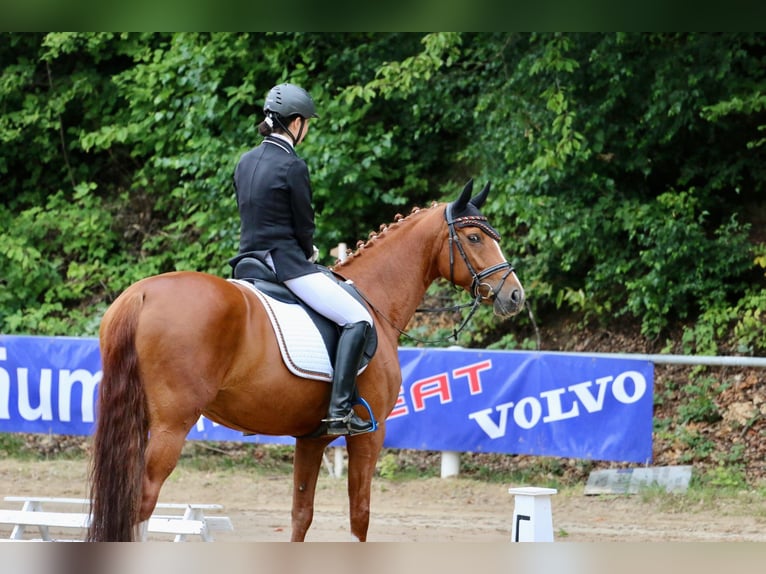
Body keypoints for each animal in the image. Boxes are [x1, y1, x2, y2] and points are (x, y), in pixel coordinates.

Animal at [85, 180, 528, 544]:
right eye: (475, 237)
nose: (514, 296)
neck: (375, 299)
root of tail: (141, 294)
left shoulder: (310, 439)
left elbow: (301, 514)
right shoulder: (369, 435)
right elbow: (360, 516)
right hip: (172, 424)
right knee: (142, 503)